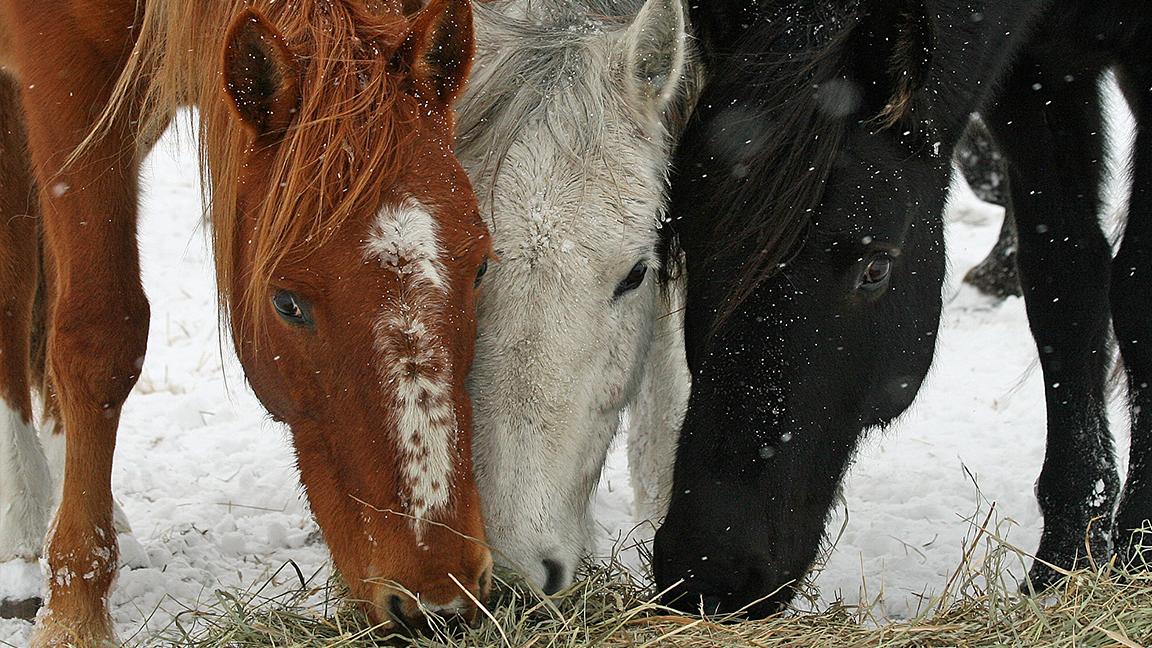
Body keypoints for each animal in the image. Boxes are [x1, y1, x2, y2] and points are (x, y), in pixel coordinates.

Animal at [0, 0, 490, 636]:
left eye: (481, 267)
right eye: (286, 303)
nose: (438, 599)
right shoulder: (65, 64)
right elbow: (101, 333)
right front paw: (74, 614)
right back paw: (23, 531)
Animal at [658, 0, 1152, 613]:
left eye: (876, 268)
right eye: (686, 241)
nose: (710, 568)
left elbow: (1134, 292)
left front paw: (1135, 557)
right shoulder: (1035, 77)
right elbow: (1064, 281)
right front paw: (1064, 564)